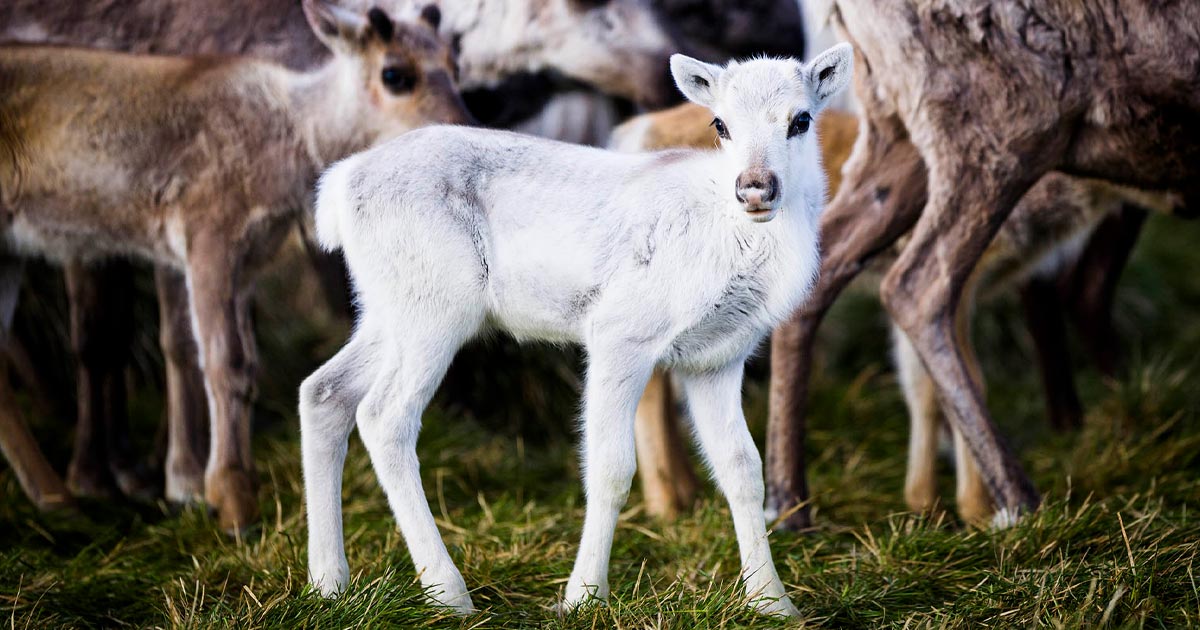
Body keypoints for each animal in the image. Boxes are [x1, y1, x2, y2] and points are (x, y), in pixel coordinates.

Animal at [0, 1, 468, 530]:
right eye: (394, 74)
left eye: (455, 65)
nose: (462, 125)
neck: (291, 133)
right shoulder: (208, 237)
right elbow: (223, 362)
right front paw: (231, 498)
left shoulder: (248, 262)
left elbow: (243, 362)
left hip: (10, 250)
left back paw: (54, 496)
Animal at [304, 45, 859, 614]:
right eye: (720, 123)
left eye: (801, 119)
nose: (754, 188)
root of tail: (337, 191)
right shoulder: (621, 331)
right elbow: (611, 469)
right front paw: (583, 597)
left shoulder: (717, 357)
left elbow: (742, 469)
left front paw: (773, 602)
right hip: (434, 303)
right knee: (384, 415)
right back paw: (448, 592)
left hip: (386, 305)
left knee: (324, 390)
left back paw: (329, 582)